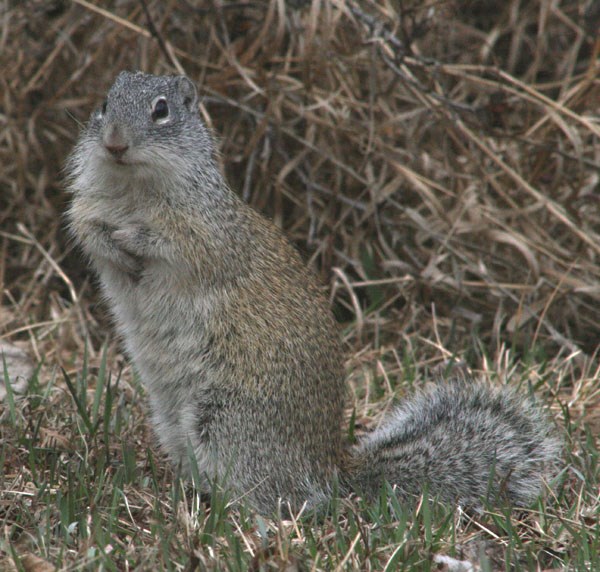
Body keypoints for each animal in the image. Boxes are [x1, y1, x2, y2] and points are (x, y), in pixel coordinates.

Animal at [67, 71, 564, 512]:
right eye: (105, 103)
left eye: (161, 110)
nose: (114, 143)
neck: (132, 188)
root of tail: (329, 472)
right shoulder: (88, 209)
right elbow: (90, 233)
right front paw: (113, 244)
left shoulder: (210, 233)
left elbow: (176, 246)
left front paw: (133, 240)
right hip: (175, 423)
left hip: (229, 422)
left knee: (285, 498)